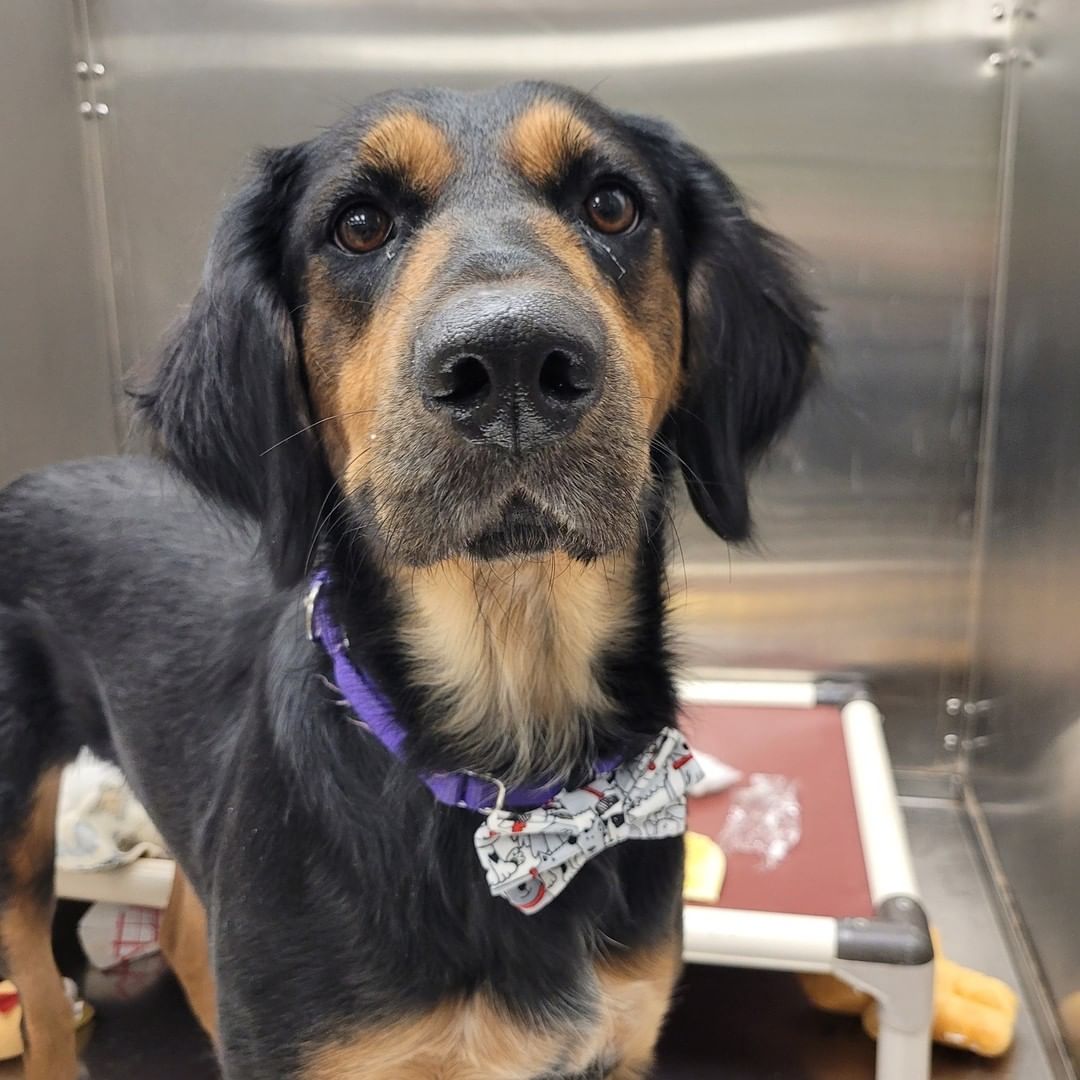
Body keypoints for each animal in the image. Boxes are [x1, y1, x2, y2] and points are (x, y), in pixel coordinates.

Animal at [0, 84, 812, 1080]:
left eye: (613, 205)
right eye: (359, 224)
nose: (512, 362)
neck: (512, 763)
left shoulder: (620, 1037)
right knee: (40, 977)